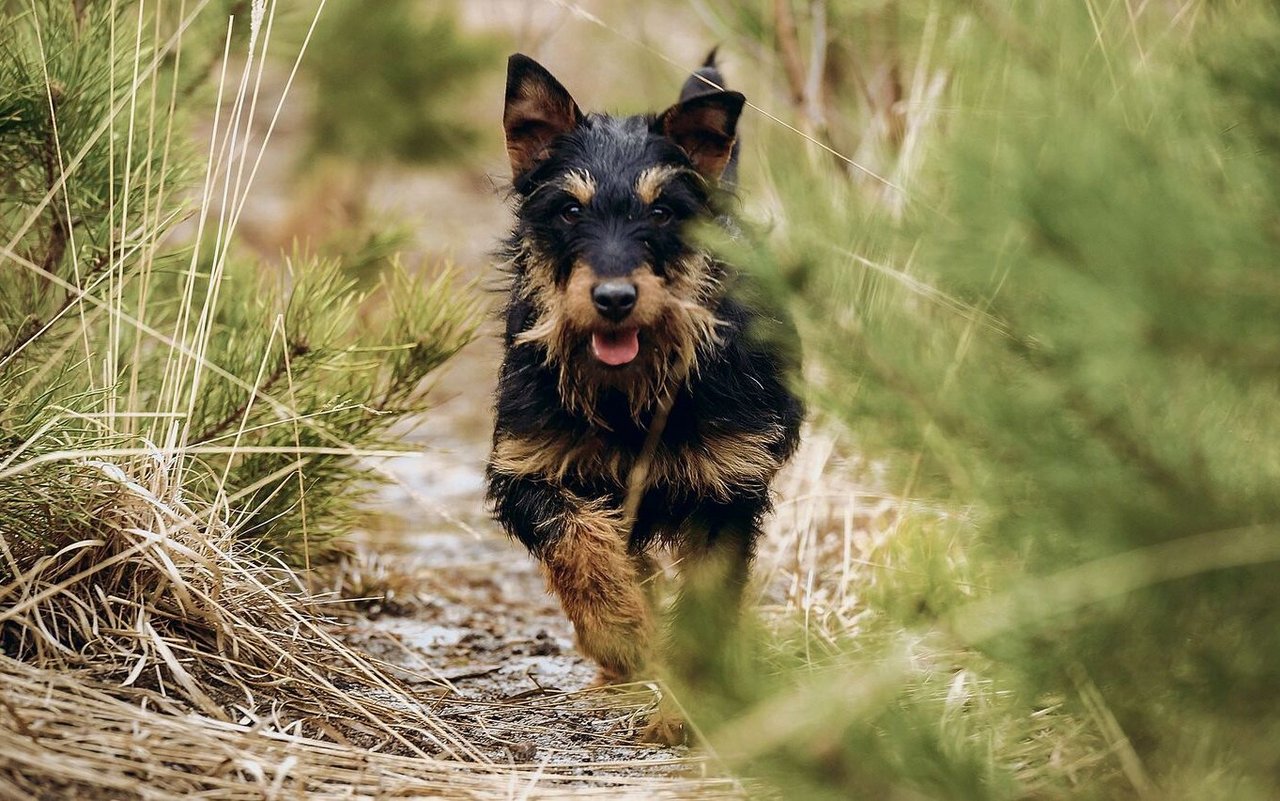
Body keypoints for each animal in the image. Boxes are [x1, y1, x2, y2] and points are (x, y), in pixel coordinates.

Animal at [481, 48, 798, 737]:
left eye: (662, 211)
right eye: (570, 210)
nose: (614, 299)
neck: (628, 394)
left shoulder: (728, 491)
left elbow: (703, 604)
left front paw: (685, 708)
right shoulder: (526, 470)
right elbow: (578, 543)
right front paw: (620, 633)